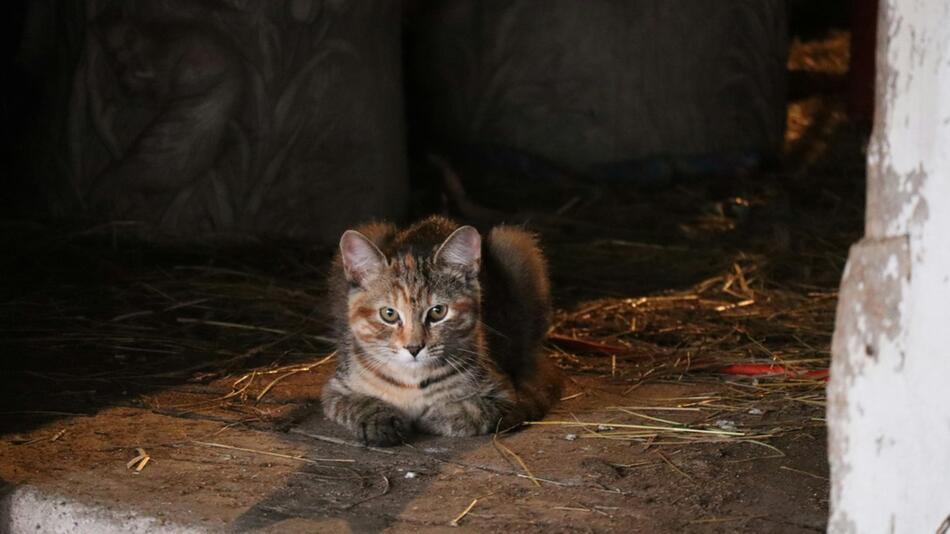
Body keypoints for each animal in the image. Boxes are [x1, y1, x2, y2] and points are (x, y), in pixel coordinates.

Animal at [322, 216, 556, 446]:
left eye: (438, 311)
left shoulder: (502, 393)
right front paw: (380, 420)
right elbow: (358, 403)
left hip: (515, 244)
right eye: (389, 314)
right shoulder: (336, 389)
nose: (413, 348)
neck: (411, 379)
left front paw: (434, 415)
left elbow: (473, 412)